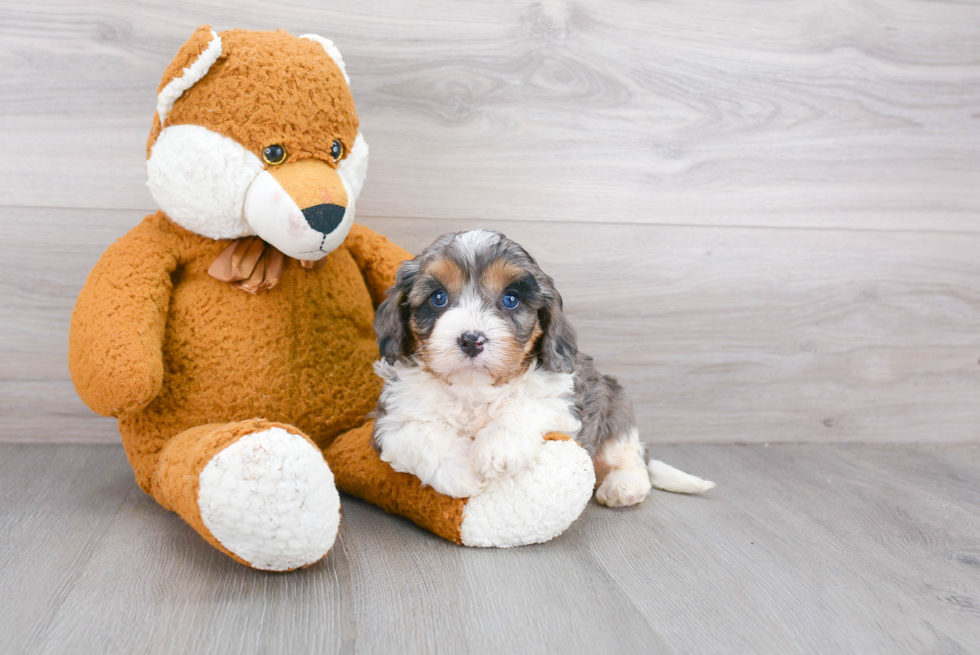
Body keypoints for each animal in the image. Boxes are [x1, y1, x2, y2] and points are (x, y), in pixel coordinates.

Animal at [368, 231, 712, 508]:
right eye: (438, 298)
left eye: (511, 299)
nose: (471, 339)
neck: (473, 386)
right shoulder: (391, 419)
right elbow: (420, 434)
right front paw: (461, 469)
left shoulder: (566, 395)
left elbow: (525, 405)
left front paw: (496, 449)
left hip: (614, 406)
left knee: (630, 456)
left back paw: (624, 485)